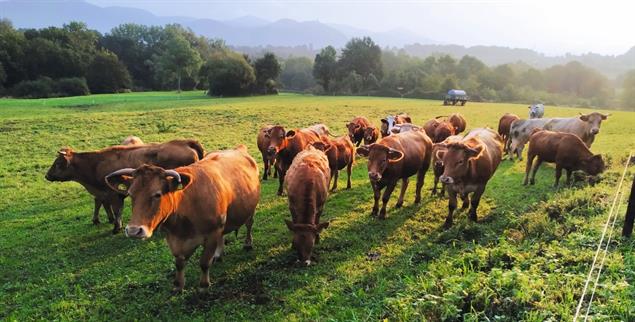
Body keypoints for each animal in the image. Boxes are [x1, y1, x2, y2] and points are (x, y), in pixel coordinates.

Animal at [44, 140, 204, 233]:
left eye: (57, 163)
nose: (47, 175)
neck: (96, 164)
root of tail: (185, 142)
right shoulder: (105, 193)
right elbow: (103, 204)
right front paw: (106, 220)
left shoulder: (114, 194)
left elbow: (116, 210)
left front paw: (116, 227)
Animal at [105, 146, 260, 292]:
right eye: (131, 194)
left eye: (157, 194)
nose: (133, 231)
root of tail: (239, 148)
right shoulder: (173, 238)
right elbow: (179, 264)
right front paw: (178, 286)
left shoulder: (212, 233)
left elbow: (204, 262)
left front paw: (204, 285)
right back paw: (218, 255)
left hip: (250, 209)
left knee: (249, 224)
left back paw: (247, 244)